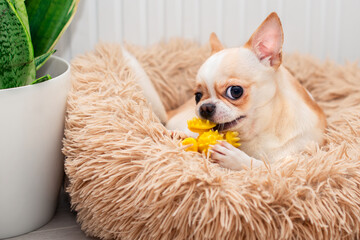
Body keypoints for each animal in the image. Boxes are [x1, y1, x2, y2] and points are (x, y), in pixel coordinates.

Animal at [165, 12, 326, 171]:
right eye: (197, 96)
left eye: (235, 91)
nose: (205, 107)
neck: (260, 133)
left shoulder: (297, 161)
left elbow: (267, 166)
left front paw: (236, 157)